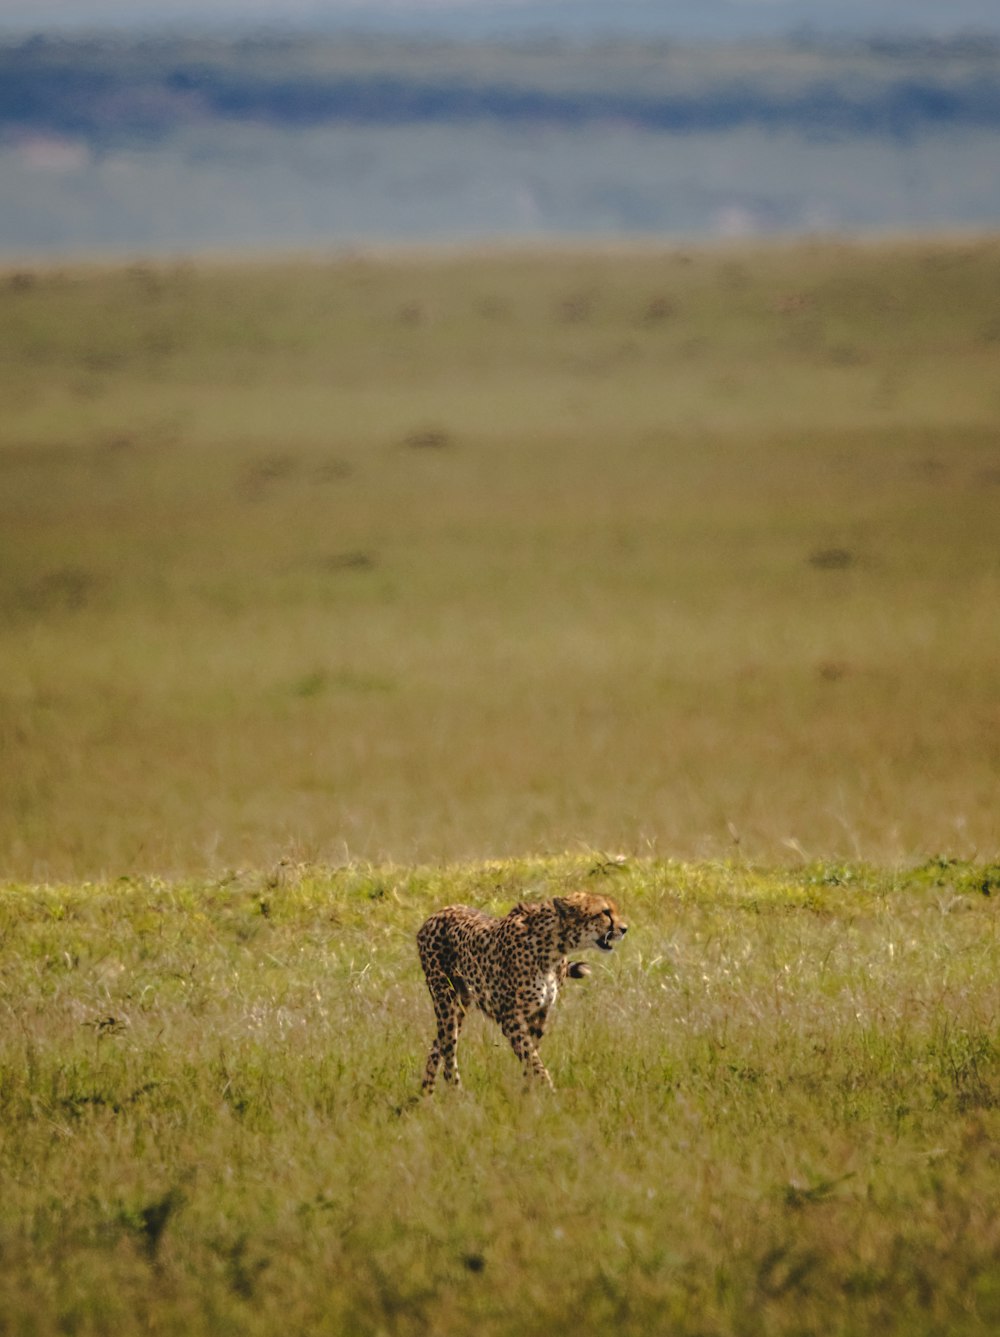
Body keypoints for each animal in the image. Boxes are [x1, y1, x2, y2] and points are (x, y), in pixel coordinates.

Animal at [417, 893, 628, 1090]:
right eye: (604, 912)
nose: (625, 929)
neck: (553, 947)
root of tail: (439, 912)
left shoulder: (540, 1014)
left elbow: (531, 1057)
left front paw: (528, 1093)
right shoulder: (511, 1018)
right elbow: (533, 1059)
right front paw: (549, 1093)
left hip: (461, 1003)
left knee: (438, 1045)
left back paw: (426, 1094)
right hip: (445, 1000)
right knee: (448, 1048)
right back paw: (455, 1092)